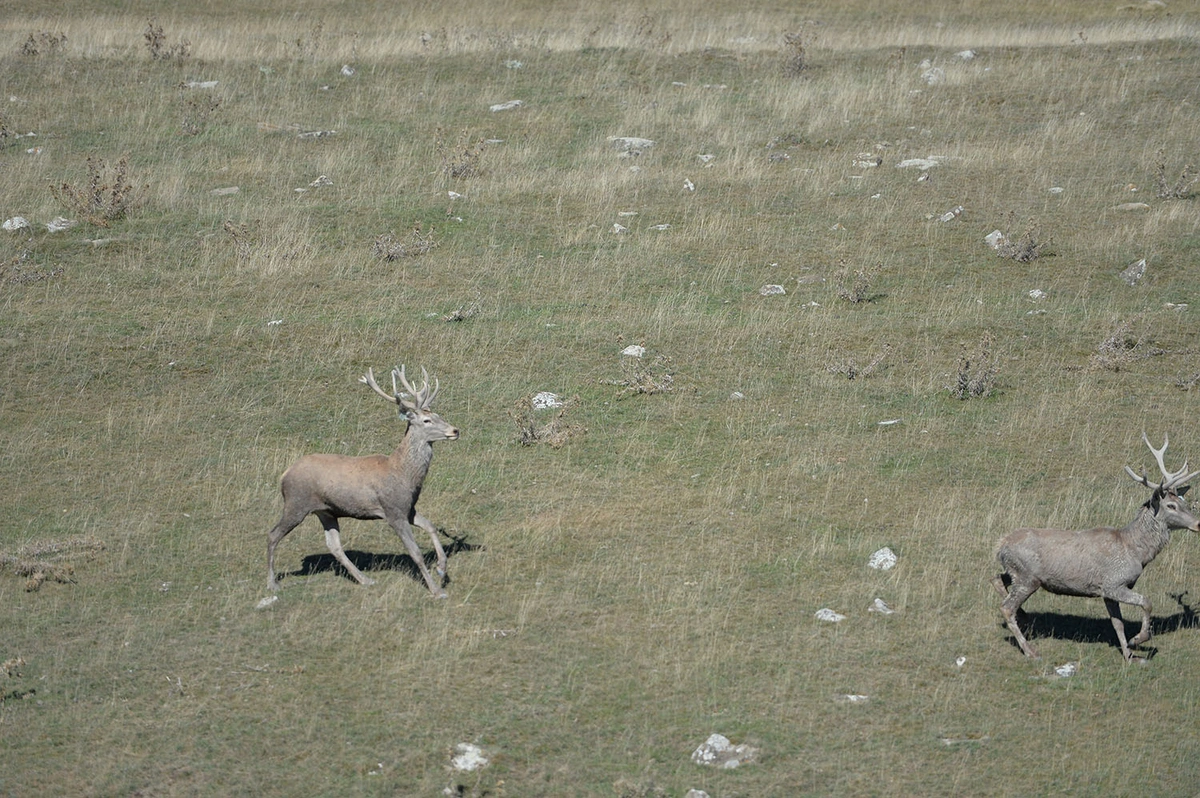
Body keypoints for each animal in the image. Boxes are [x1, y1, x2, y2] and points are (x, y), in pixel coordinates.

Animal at [266, 365, 460, 598]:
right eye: (426, 421)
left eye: (439, 415)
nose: (455, 430)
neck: (403, 473)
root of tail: (284, 475)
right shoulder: (393, 511)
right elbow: (415, 553)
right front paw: (435, 590)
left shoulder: (408, 508)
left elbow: (431, 526)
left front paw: (442, 568)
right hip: (296, 503)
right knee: (272, 535)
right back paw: (272, 583)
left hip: (326, 511)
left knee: (334, 545)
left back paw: (365, 579)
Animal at [993, 433, 1200, 663]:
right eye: (1171, 506)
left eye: (1184, 501)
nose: (1198, 523)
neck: (1135, 551)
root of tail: (1000, 545)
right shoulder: (1113, 583)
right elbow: (1147, 602)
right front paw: (1138, 639)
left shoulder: (1108, 591)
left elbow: (1117, 624)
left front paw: (1129, 655)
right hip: (1027, 577)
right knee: (1006, 607)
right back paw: (1031, 650)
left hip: (1017, 573)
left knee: (997, 579)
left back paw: (1024, 616)